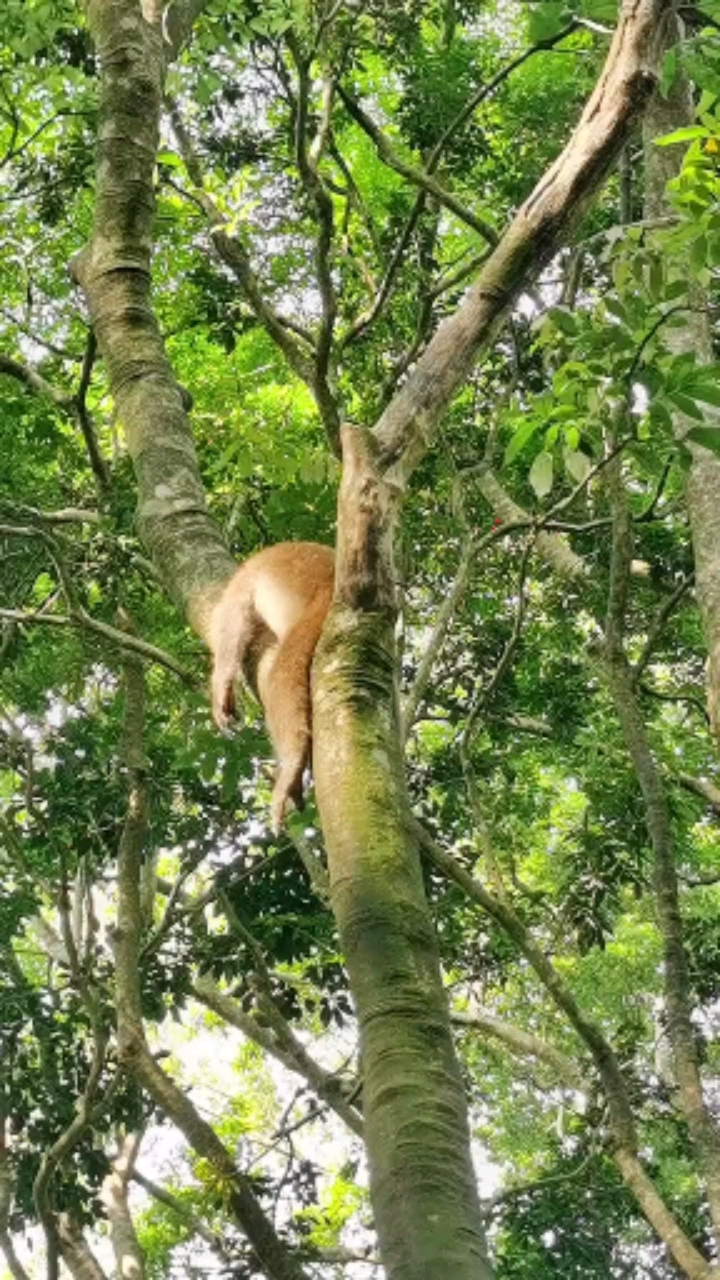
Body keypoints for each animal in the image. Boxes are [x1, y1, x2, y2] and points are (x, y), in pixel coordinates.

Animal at [206, 540, 333, 829]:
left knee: (283, 675)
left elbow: (234, 624)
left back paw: (291, 768)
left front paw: (221, 687)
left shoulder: (242, 585)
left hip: (309, 602)